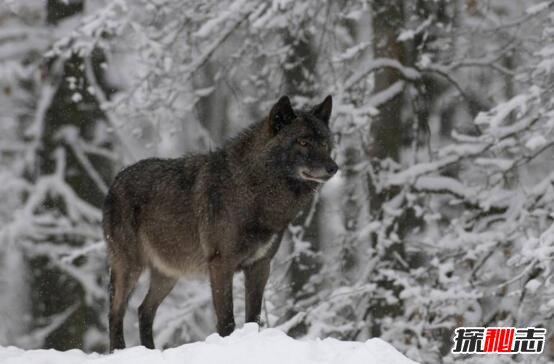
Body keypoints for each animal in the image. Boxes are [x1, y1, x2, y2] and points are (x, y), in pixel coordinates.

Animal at [103, 95, 336, 352]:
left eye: (325, 144)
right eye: (303, 142)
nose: (334, 168)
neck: (254, 190)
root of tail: (116, 180)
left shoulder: (260, 265)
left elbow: (253, 317)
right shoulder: (221, 263)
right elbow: (227, 319)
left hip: (168, 276)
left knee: (144, 310)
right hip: (130, 268)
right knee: (115, 312)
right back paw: (118, 351)